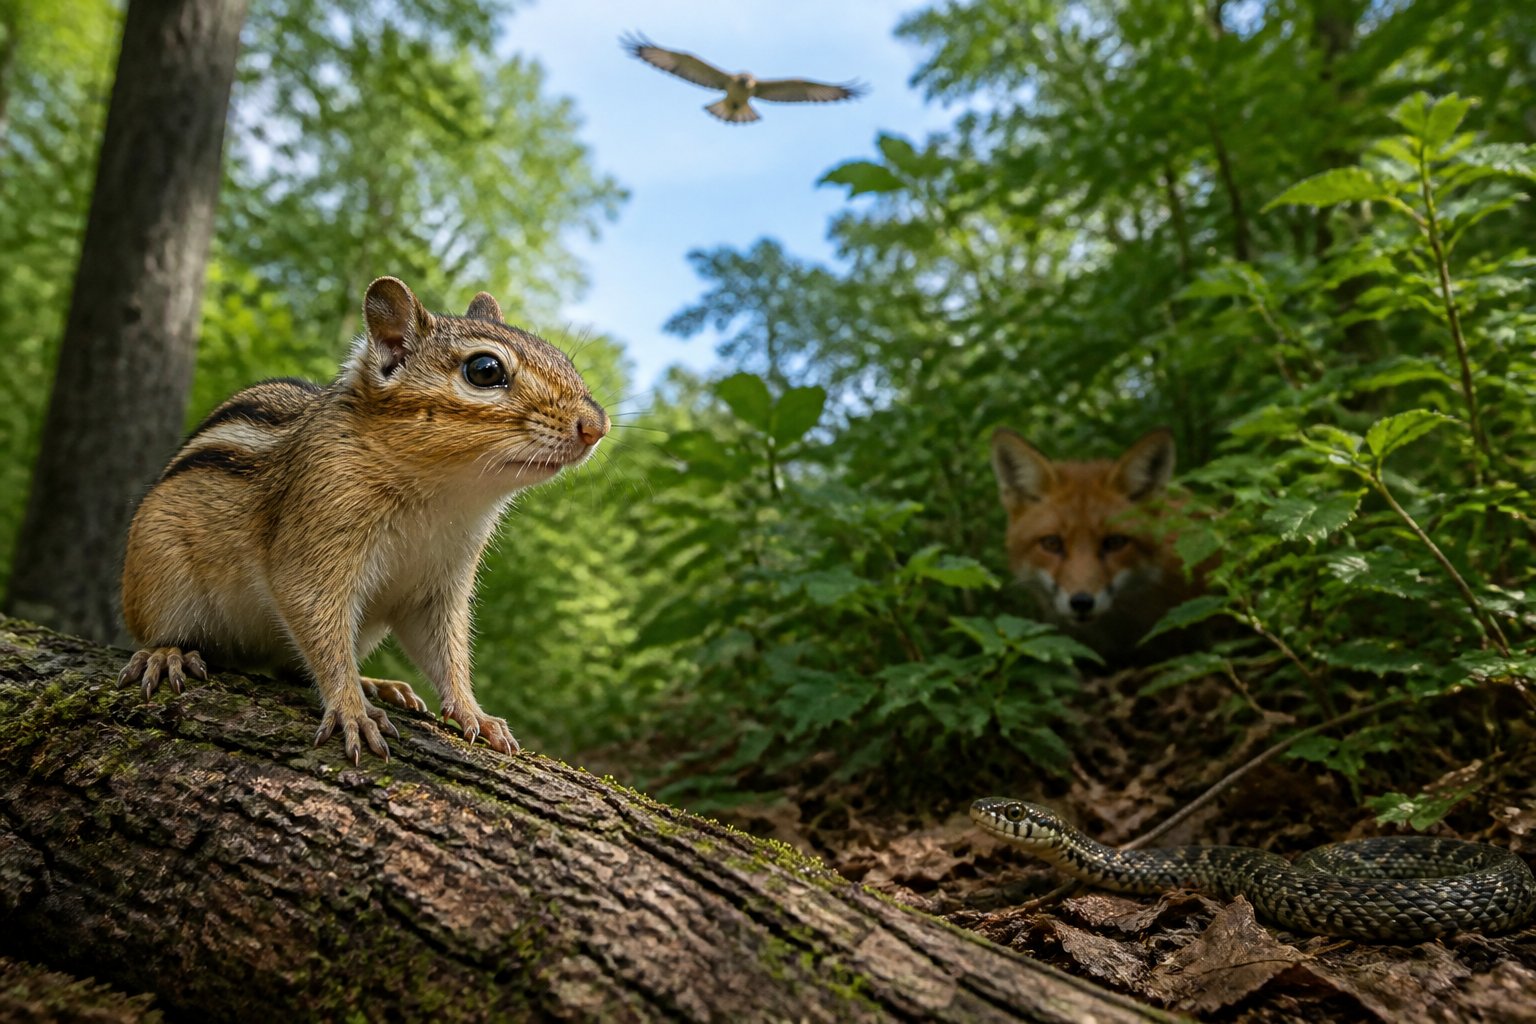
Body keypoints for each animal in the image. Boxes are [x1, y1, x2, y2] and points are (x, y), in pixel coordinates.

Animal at [117, 276, 609, 763]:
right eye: (485, 370)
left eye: (564, 359)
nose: (596, 426)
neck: (443, 496)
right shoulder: (316, 542)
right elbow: (319, 624)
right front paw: (352, 711)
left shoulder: (437, 587)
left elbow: (446, 652)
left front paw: (475, 713)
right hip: (160, 578)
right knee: (160, 636)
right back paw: (167, 654)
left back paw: (378, 683)